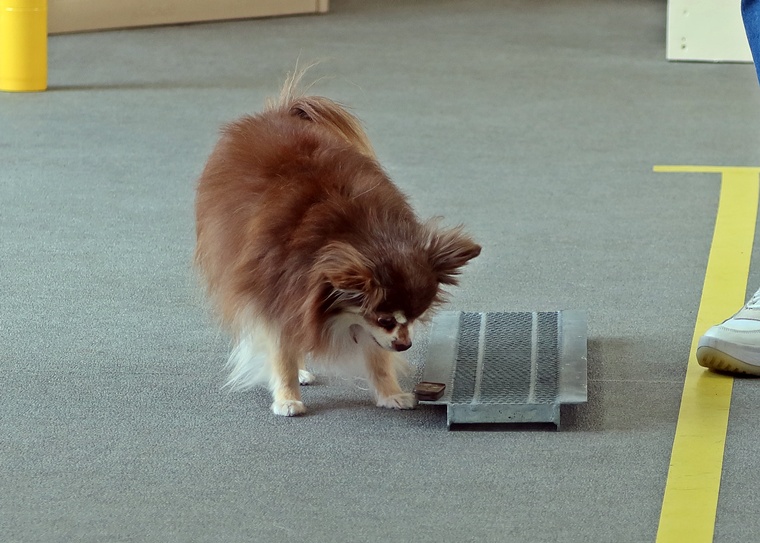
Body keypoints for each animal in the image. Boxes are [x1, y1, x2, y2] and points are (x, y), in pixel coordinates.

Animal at [194, 70, 481, 416]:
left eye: (414, 317)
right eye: (385, 319)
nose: (405, 344)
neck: (359, 236)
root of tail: (278, 112)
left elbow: (378, 357)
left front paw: (390, 393)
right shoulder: (277, 293)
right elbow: (282, 351)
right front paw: (287, 397)